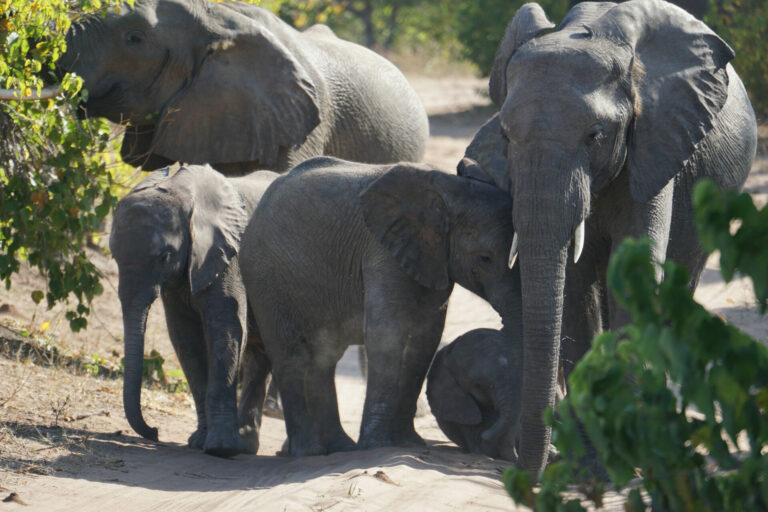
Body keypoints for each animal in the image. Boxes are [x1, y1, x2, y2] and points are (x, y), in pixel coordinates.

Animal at [106, 164, 278, 456]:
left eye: (165, 256)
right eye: (114, 256)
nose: (155, 432)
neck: (183, 193)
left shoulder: (228, 257)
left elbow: (227, 332)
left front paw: (220, 448)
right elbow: (185, 340)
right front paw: (199, 442)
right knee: (259, 355)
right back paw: (245, 444)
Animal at [480, 0, 756, 476]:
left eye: (596, 135)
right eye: (505, 136)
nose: (526, 471)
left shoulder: (656, 140)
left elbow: (635, 275)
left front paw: (629, 462)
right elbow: (576, 292)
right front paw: (593, 465)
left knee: (680, 281)